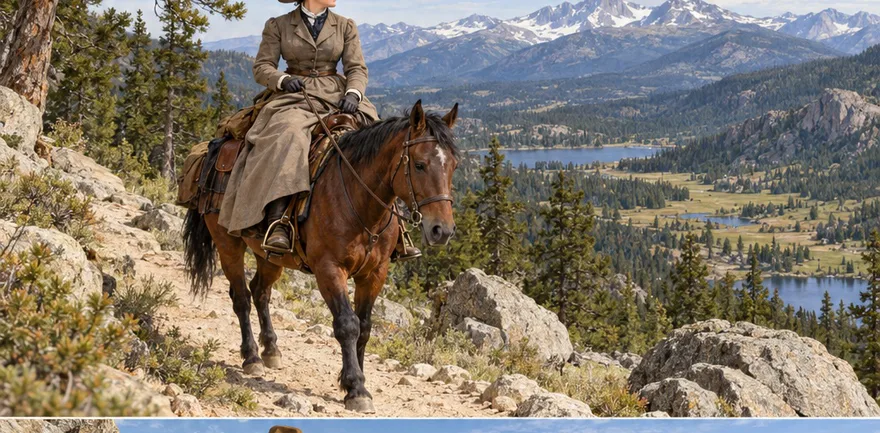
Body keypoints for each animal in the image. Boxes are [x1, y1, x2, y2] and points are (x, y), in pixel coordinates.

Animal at [182, 100, 460, 413]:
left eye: (453, 167)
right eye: (419, 164)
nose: (442, 230)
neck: (359, 201)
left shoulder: (374, 274)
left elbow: (365, 327)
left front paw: (354, 380)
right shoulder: (329, 269)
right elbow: (347, 324)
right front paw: (356, 388)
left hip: (270, 256)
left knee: (260, 291)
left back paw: (271, 349)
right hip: (227, 242)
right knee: (241, 297)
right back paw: (252, 357)